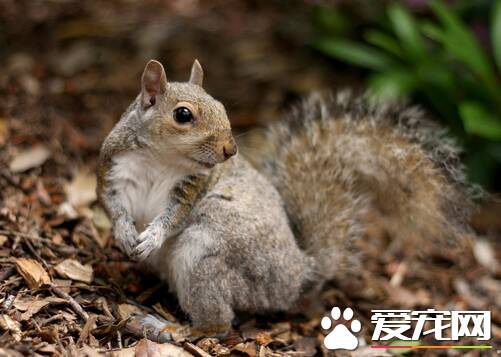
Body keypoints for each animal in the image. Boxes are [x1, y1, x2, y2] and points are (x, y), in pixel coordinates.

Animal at [96, 59, 472, 336]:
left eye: (222, 106)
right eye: (183, 115)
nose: (230, 150)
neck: (160, 160)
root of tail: (299, 274)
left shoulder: (192, 187)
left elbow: (173, 216)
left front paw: (152, 236)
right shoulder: (113, 170)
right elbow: (113, 206)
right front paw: (125, 232)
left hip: (205, 258)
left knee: (219, 325)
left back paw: (170, 328)